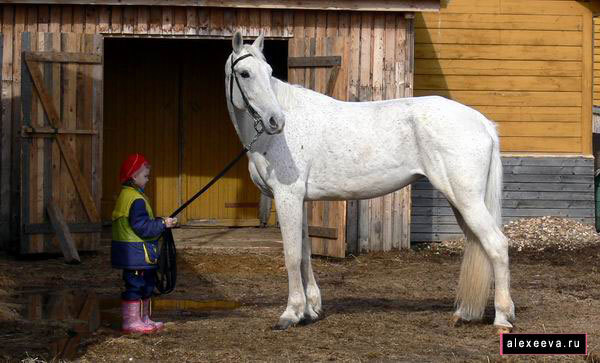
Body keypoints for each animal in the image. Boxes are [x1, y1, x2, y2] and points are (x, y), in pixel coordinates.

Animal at [225, 32, 516, 334]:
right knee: (479, 245)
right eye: (245, 73)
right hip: (460, 202)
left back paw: (502, 318)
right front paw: (310, 309)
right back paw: (465, 313)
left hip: (467, 201)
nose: (276, 121)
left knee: (496, 246)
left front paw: (291, 313)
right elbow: (305, 253)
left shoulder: (287, 197)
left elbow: (292, 255)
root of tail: (482, 123)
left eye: (269, 72)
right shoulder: (300, 200)